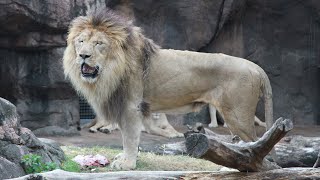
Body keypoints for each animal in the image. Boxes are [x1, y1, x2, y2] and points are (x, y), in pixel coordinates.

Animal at [63, 7, 274, 170]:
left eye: (99, 43)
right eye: (81, 41)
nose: (83, 55)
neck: (111, 70)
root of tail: (256, 68)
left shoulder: (131, 107)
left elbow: (129, 138)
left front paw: (127, 164)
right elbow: (127, 138)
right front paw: (126, 159)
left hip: (238, 116)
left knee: (256, 143)